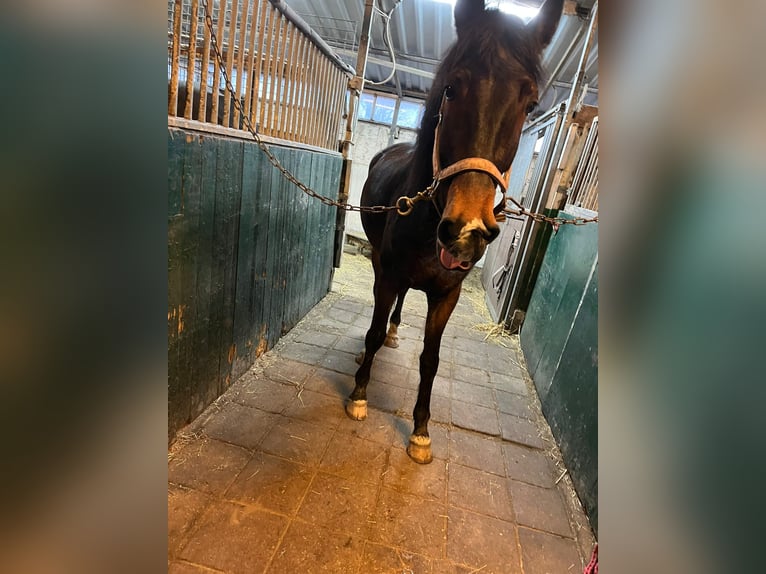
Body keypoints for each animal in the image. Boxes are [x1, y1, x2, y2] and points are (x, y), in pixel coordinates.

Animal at [347, 0, 564, 464]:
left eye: (531, 102)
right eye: (450, 88)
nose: (467, 230)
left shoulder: (447, 295)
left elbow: (430, 359)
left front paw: (421, 431)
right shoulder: (388, 273)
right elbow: (372, 330)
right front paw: (358, 395)